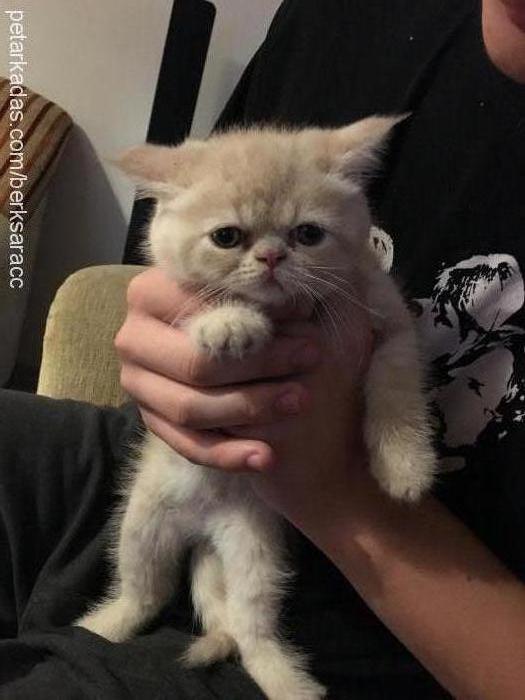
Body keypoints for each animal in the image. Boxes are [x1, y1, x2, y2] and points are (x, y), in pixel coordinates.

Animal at [73, 117, 434, 696]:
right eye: (227, 237)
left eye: (308, 234)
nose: (270, 257)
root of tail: (202, 530)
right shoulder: (173, 297)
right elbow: (202, 304)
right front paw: (230, 322)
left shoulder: (392, 324)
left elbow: (396, 389)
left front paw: (405, 466)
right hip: (142, 524)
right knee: (145, 592)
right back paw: (103, 625)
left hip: (256, 553)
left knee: (249, 626)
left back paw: (289, 682)